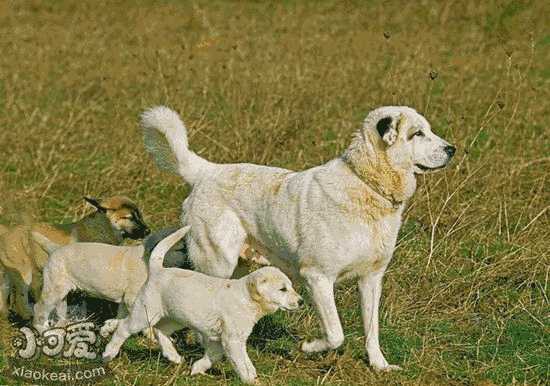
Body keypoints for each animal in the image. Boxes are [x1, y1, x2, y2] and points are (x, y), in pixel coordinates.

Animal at [0, 196, 150, 320]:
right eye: (130, 218)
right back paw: (28, 315)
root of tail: (7, 232)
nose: (148, 231)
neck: (103, 228)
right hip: (24, 273)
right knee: (20, 298)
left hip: (8, 273)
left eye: (139, 216)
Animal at [103, 226, 302, 386]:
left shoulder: (221, 340)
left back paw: (173, 356)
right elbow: (241, 363)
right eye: (283, 289)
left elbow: (216, 357)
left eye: (291, 287)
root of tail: (158, 270)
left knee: (160, 331)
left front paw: (197, 368)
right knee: (123, 328)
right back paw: (109, 353)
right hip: (145, 314)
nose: (301, 301)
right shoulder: (232, 340)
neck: (246, 297)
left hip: (175, 317)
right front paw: (250, 380)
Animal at [142, 104, 458, 370]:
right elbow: (336, 333)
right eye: (417, 134)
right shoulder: (317, 277)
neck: (366, 184)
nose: (452, 149)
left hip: (235, 269)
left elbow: (372, 329)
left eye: (428, 130)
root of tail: (207, 171)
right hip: (217, 262)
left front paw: (380, 366)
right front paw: (309, 347)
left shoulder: (371, 279)